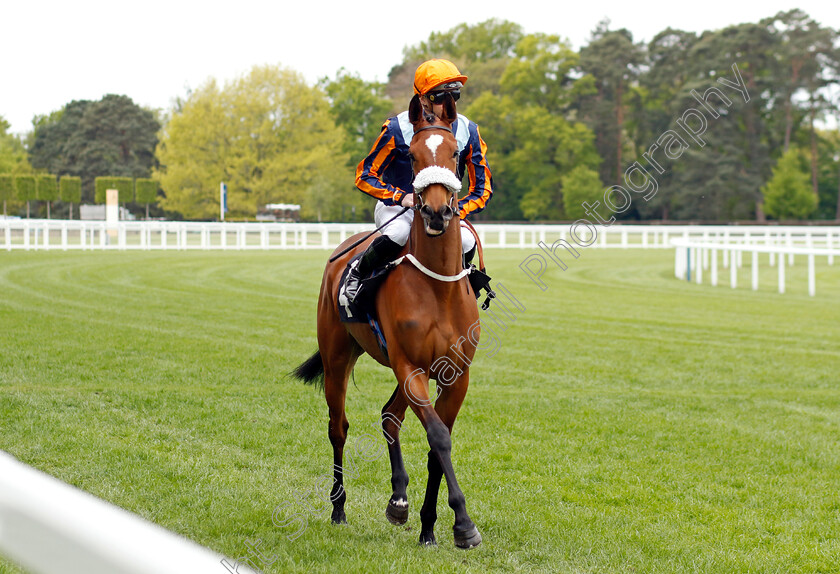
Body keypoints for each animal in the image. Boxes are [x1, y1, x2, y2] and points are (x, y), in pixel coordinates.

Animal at [292, 93, 482, 548]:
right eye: (411, 155)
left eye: (456, 153)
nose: (435, 212)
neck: (438, 289)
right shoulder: (408, 365)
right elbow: (438, 436)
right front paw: (463, 524)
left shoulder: (454, 373)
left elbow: (436, 445)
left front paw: (430, 526)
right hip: (338, 356)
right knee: (338, 427)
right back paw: (339, 508)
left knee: (389, 417)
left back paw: (399, 500)